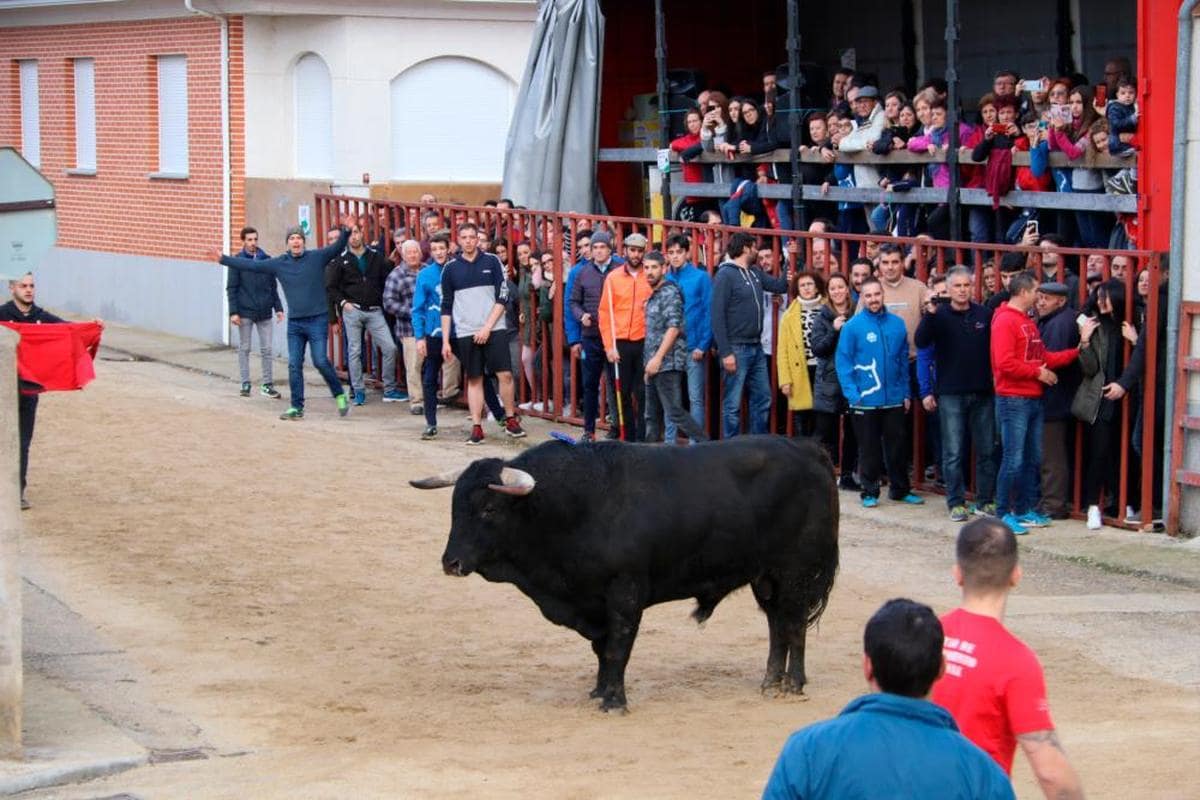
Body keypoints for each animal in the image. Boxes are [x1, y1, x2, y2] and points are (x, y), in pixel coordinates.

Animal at [415, 438, 844, 714]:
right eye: (454, 507)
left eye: (489, 509)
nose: (450, 562)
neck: (572, 507)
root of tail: (810, 451)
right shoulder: (593, 603)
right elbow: (601, 648)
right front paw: (598, 690)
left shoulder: (625, 595)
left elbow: (617, 647)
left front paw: (614, 701)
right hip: (765, 578)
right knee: (777, 625)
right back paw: (770, 682)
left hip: (797, 572)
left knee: (794, 625)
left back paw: (793, 684)